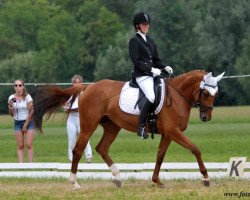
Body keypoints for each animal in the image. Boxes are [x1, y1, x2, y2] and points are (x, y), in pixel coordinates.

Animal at [31, 70, 225, 189]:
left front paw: (157, 181)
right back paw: (74, 183)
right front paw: (206, 178)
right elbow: (195, 149)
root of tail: (88, 87)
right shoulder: (173, 132)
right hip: (88, 125)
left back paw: (117, 177)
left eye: (215, 94)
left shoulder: (168, 134)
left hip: (112, 126)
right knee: (78, 150)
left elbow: (160, 156)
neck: (177, 95)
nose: (206, 117)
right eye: (205, 93)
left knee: (102, 148)